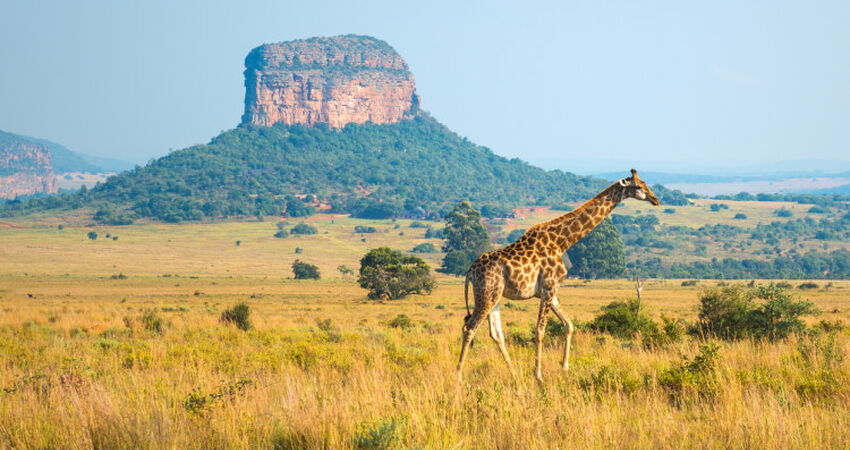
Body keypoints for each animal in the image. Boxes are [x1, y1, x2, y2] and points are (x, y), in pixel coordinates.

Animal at [454, 169, 660, 384]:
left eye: (645, 183)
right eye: (638, 186)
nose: (655, 200)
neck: (562, 242)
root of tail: (470, 271)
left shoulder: (550, 291)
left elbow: (569, 325)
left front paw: (564, 368)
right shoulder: (549, 287)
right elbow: (540, 330)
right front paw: (538, 375)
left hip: (495, 296)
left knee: (495, 333)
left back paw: (514, 374)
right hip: (486, 294)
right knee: (470, 328)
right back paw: (458, 376)